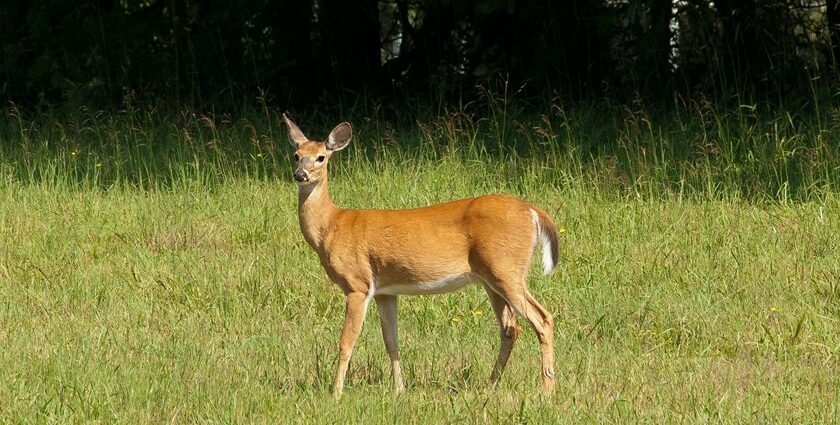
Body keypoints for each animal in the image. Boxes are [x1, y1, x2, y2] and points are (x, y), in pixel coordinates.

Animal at [284, 113, 564, 398]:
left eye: (321, 157)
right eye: (296, 155)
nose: (300, 174)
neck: (331, 226)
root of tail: (533, 211)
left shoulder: (357, 284)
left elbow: (346, 342)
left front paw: (335, 393)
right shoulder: (385, 291)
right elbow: (391, 341)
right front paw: (399, 390)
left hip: (506, 268)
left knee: (542, 319)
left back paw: (547, 390)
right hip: (491, 278)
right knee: (510, 327)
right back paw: (490, 385)